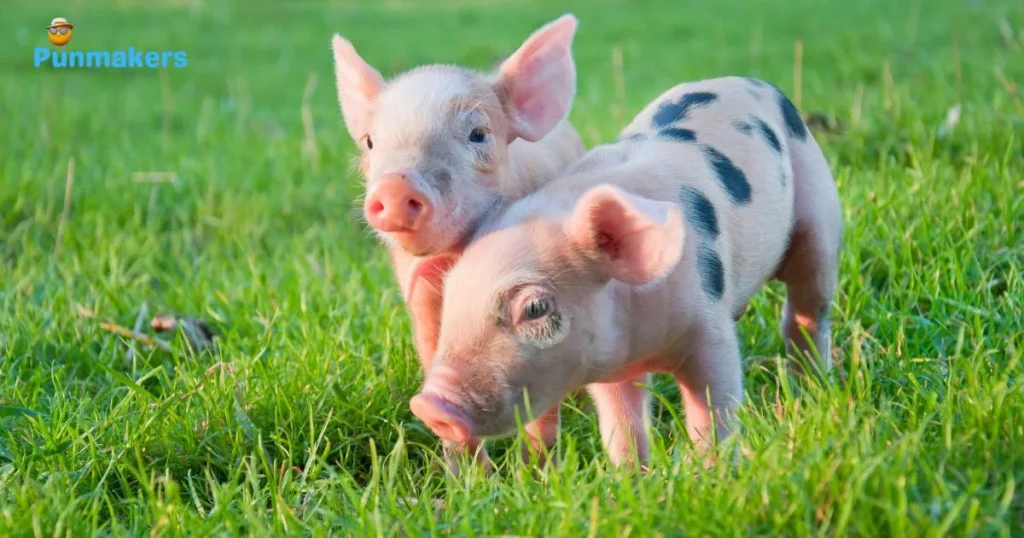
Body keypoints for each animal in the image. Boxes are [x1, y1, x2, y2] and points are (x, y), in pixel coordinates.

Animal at [330, 15, 586, 472]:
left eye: (478, 134)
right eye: (371, 141)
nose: (397, 184)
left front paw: (537, 474)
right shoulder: (419, 297)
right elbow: (435, 355)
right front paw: (468, 476)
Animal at [407, 76, 842, 467]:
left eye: (535, 309)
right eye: (451, 299)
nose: (429, 405)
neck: (645, 346)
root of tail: (758, 83)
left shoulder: (708, 326)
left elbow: (714, 407)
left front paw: (712, 475)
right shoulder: (607, 361)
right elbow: (621, 425)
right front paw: (632, 478)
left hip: (819, 212)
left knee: (808, 308)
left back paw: (813, 385)